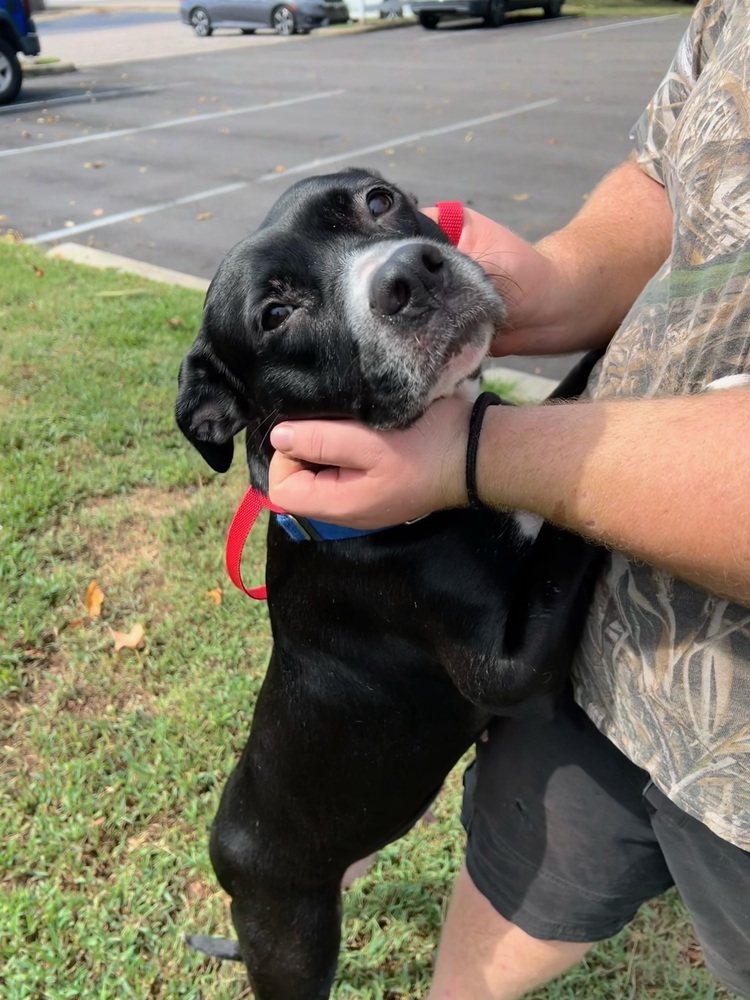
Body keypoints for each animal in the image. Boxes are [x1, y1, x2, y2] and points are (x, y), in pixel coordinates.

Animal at [175, 168, 600, 996]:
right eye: (276, 313)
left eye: (377, 200)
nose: (410, 276)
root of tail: (225, 858)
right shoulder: (509, 669)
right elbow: (568, 537)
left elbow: (563, 395)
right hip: (294, 940)